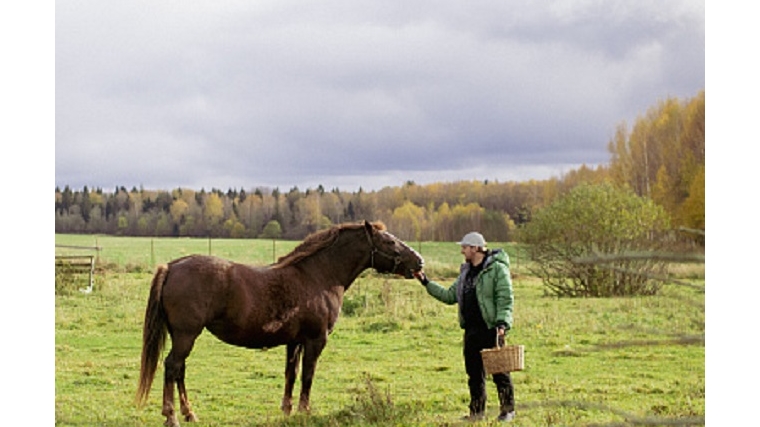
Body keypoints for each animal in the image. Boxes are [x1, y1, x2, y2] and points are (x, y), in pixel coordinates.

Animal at [135, 222, 422, 426]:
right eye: (390, 241)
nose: (419, 262)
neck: (317, 276)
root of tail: (172, 266)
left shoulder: (294, 342)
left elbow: (290, 374)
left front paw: (287, 410)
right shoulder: (315, 340)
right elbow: (307, 375)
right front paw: (305, 412)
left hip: (182, 336)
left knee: (179, 370)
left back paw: (189, 414)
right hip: (186, 335)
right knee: (172, 367)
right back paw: (171, 416)